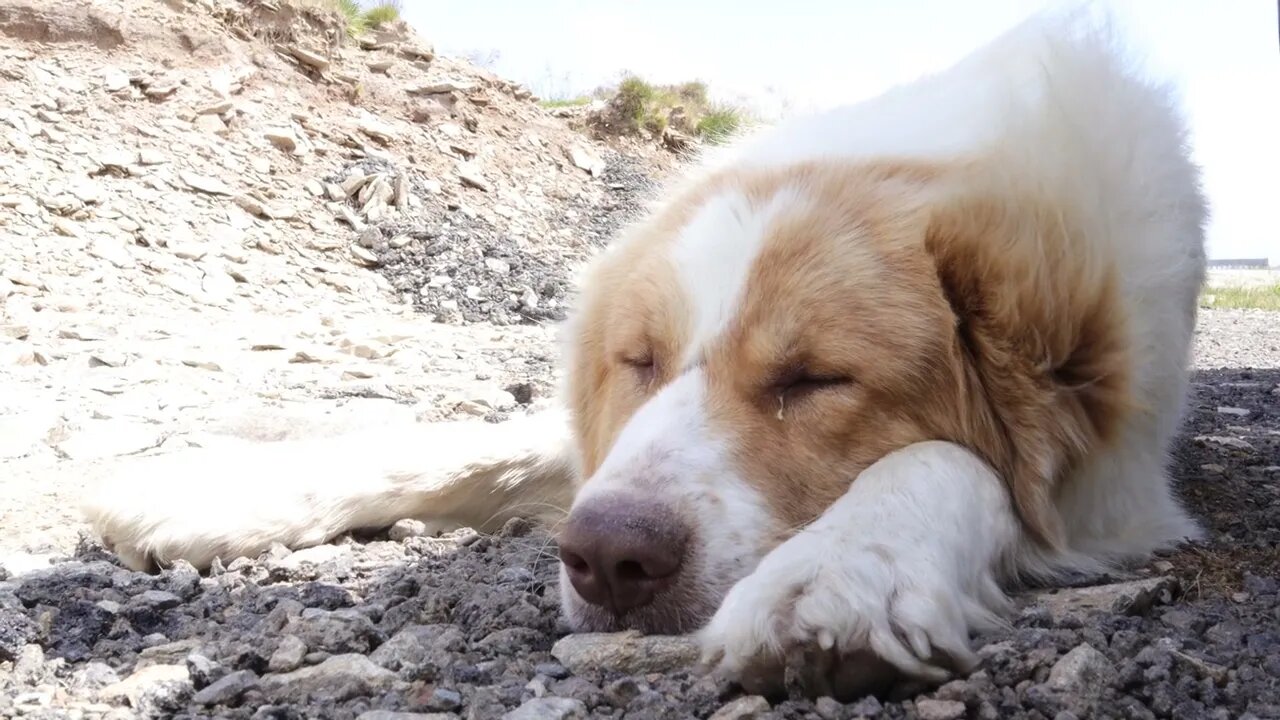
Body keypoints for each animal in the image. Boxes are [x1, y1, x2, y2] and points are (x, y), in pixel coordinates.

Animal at [85, 7, 1203, 696]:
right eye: (639, 362)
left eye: (814, 379)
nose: (608, 560)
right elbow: (466, 443)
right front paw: (213, 489)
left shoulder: (1113, 489)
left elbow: (950, 463)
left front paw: (841, 569)